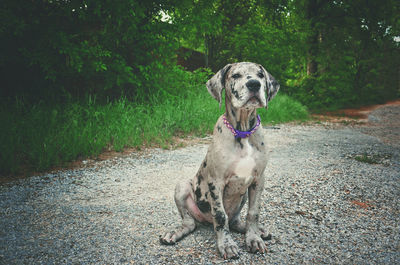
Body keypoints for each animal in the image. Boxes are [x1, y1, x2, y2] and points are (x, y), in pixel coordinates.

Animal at [161, 61, 280, 258]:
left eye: (261, 75)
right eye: (236, 75)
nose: (254, 84)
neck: (243, 132)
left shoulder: (258, 180)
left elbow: (253, 213)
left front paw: (254, 239)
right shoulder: (216, 182)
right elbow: (220, 216)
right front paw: (227, 244)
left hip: (243, 197)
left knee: (235, 221)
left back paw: (256, 230)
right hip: (182, 186)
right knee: (190, 223)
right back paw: (174, 233)